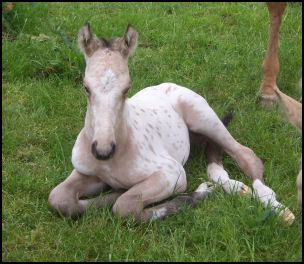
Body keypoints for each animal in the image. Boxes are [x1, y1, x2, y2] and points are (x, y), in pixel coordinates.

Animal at [48, 23, 294, 224]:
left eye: (126, 89)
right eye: (86, 87)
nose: (102, 150)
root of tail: (170, 85)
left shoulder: (171, 173)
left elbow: (124, 207)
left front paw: (196, 195)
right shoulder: (85, 171)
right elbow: (59, 199)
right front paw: (114, 191)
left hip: (203, 118)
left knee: (245, 155)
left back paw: (278, 208)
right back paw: (235, 188)